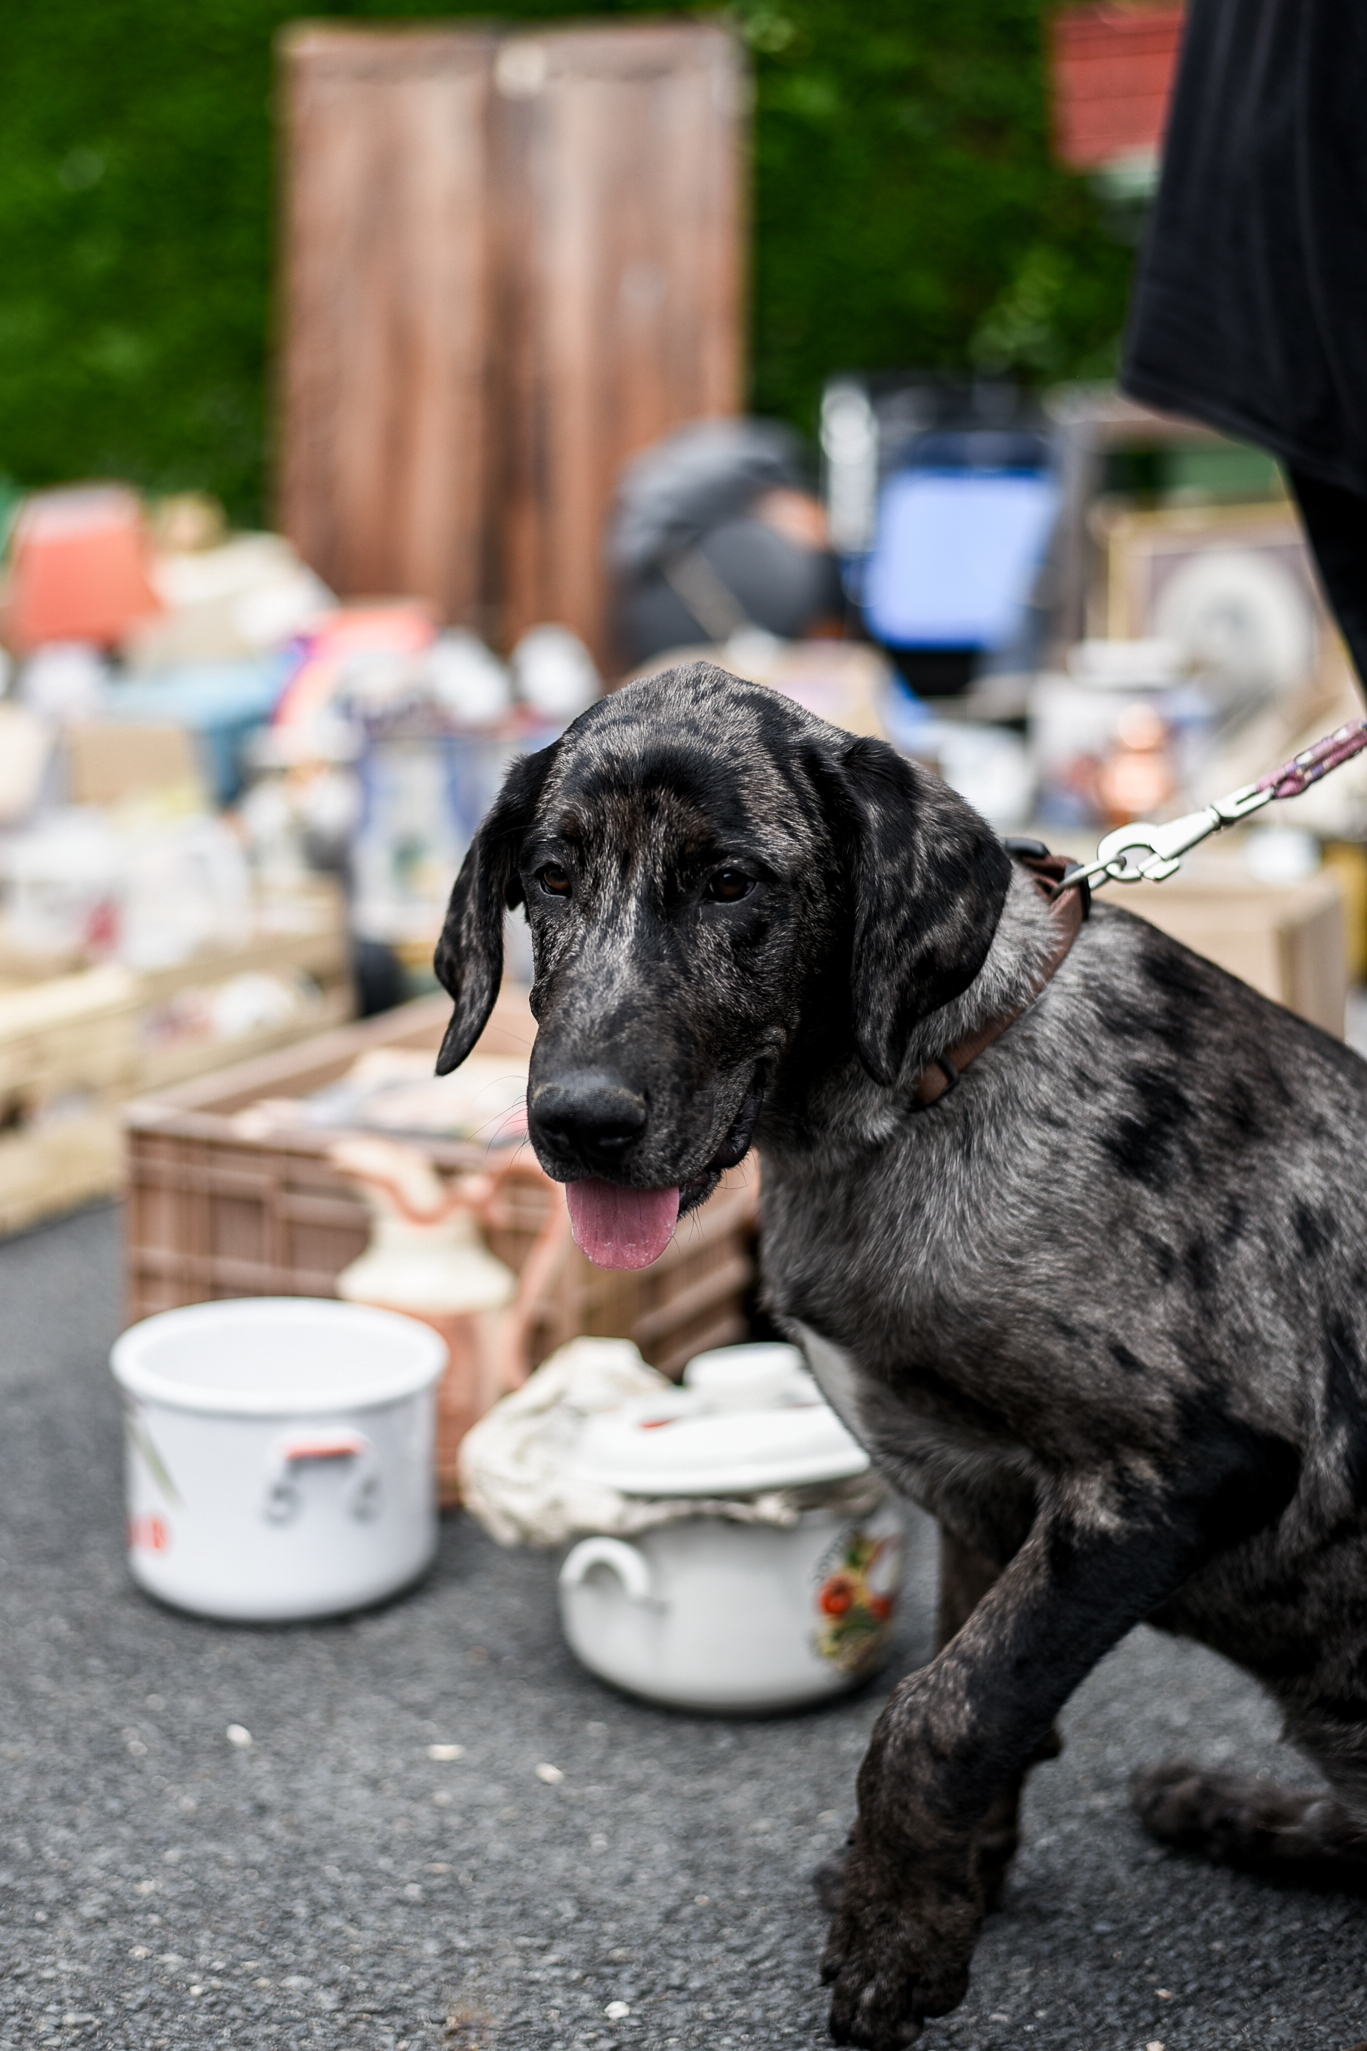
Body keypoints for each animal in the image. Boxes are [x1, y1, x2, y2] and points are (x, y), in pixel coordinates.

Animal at [432, 660, 1367, 2051]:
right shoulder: (988, 1500)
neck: (922, 1086)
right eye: (548, 875)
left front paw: (896, 1934)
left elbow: (940, 1708)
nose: (575, 1122)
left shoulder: (1184, 1465)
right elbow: (971, 1674)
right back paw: (1224, 1805)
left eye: (731, 882)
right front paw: (949, 1884)